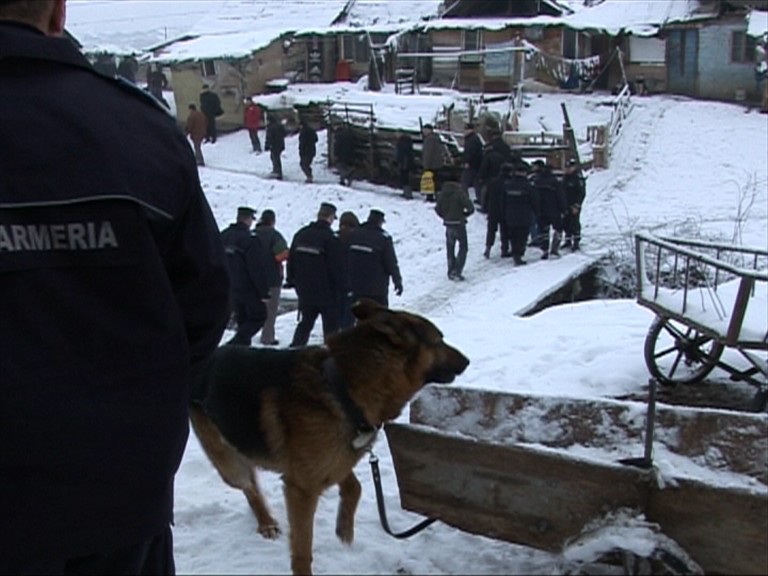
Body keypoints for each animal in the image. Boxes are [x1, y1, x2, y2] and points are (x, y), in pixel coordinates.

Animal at [189, 300, 472, 572]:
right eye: (439, 340)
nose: (467, 360)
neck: (342, 388)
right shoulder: (302, 488)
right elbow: (302, 551)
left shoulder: (333, 461)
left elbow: (354, 486)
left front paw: (344, 528)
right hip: (230, 465)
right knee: (249, 486)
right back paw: (265, 521)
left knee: (252, 483)